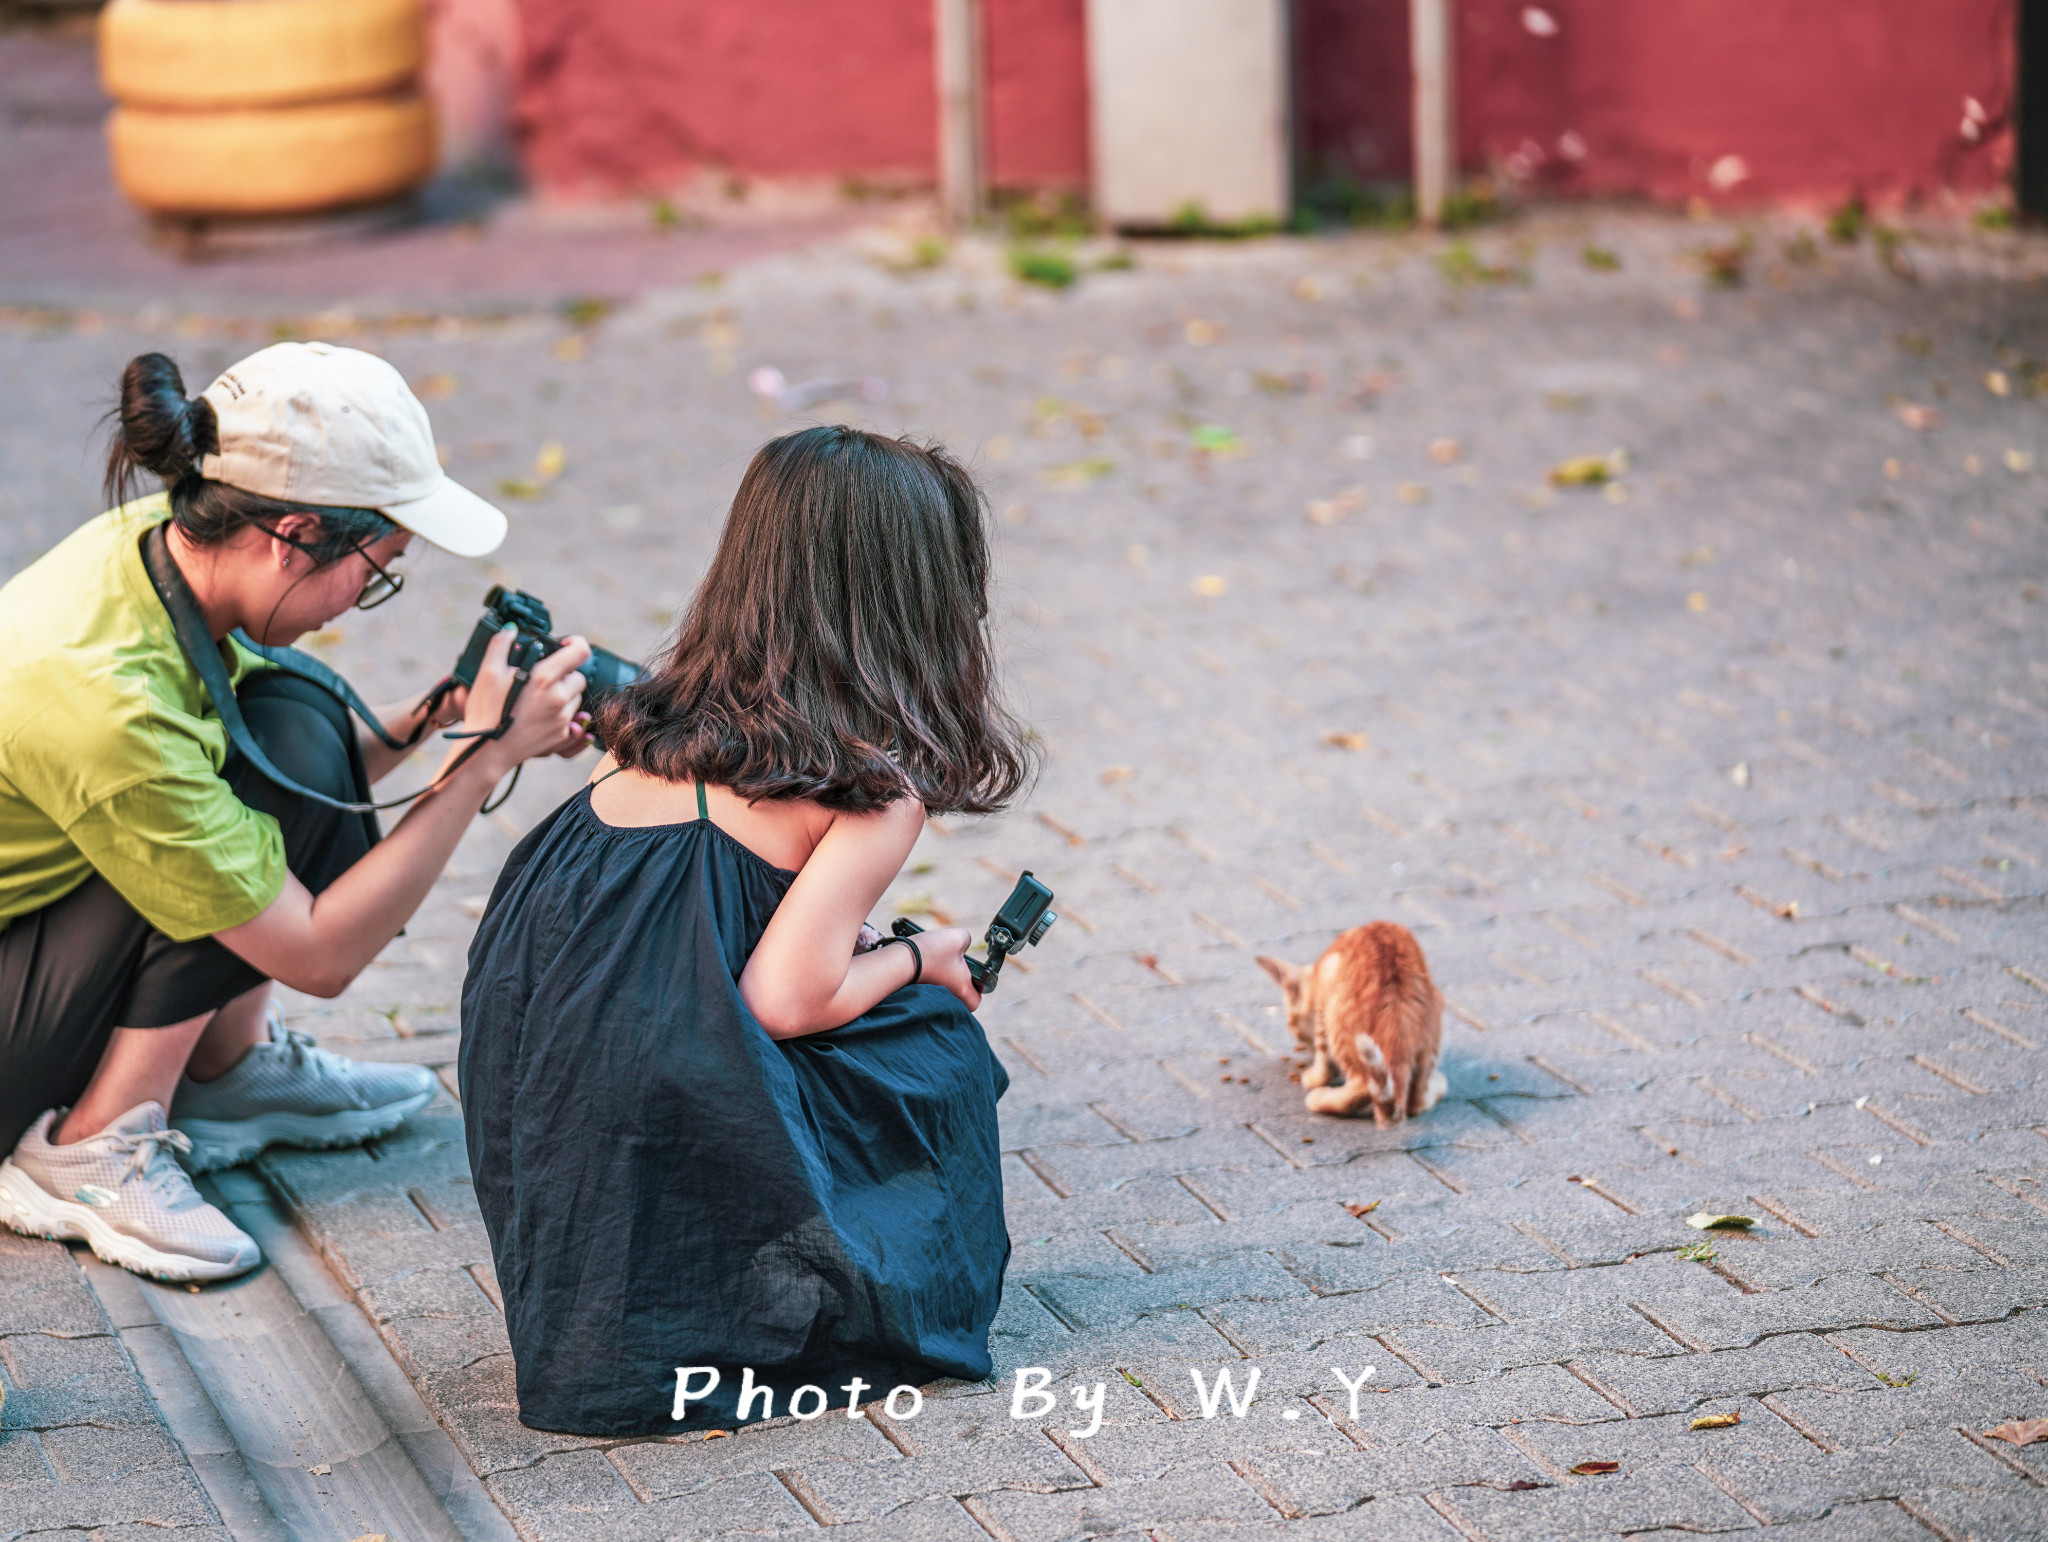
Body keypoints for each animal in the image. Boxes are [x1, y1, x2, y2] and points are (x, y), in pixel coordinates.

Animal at [1253, 921, 1449, 1122]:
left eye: (1294, 1028)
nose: (1306, 1048)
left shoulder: (1323, 998)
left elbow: (1325, 1063)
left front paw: (1314, 1077)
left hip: (1337, 1017)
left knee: (1361, 1085)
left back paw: (1319, 1098)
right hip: (1434, 1021)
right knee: (1416, 1101)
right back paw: (1438, 1084)